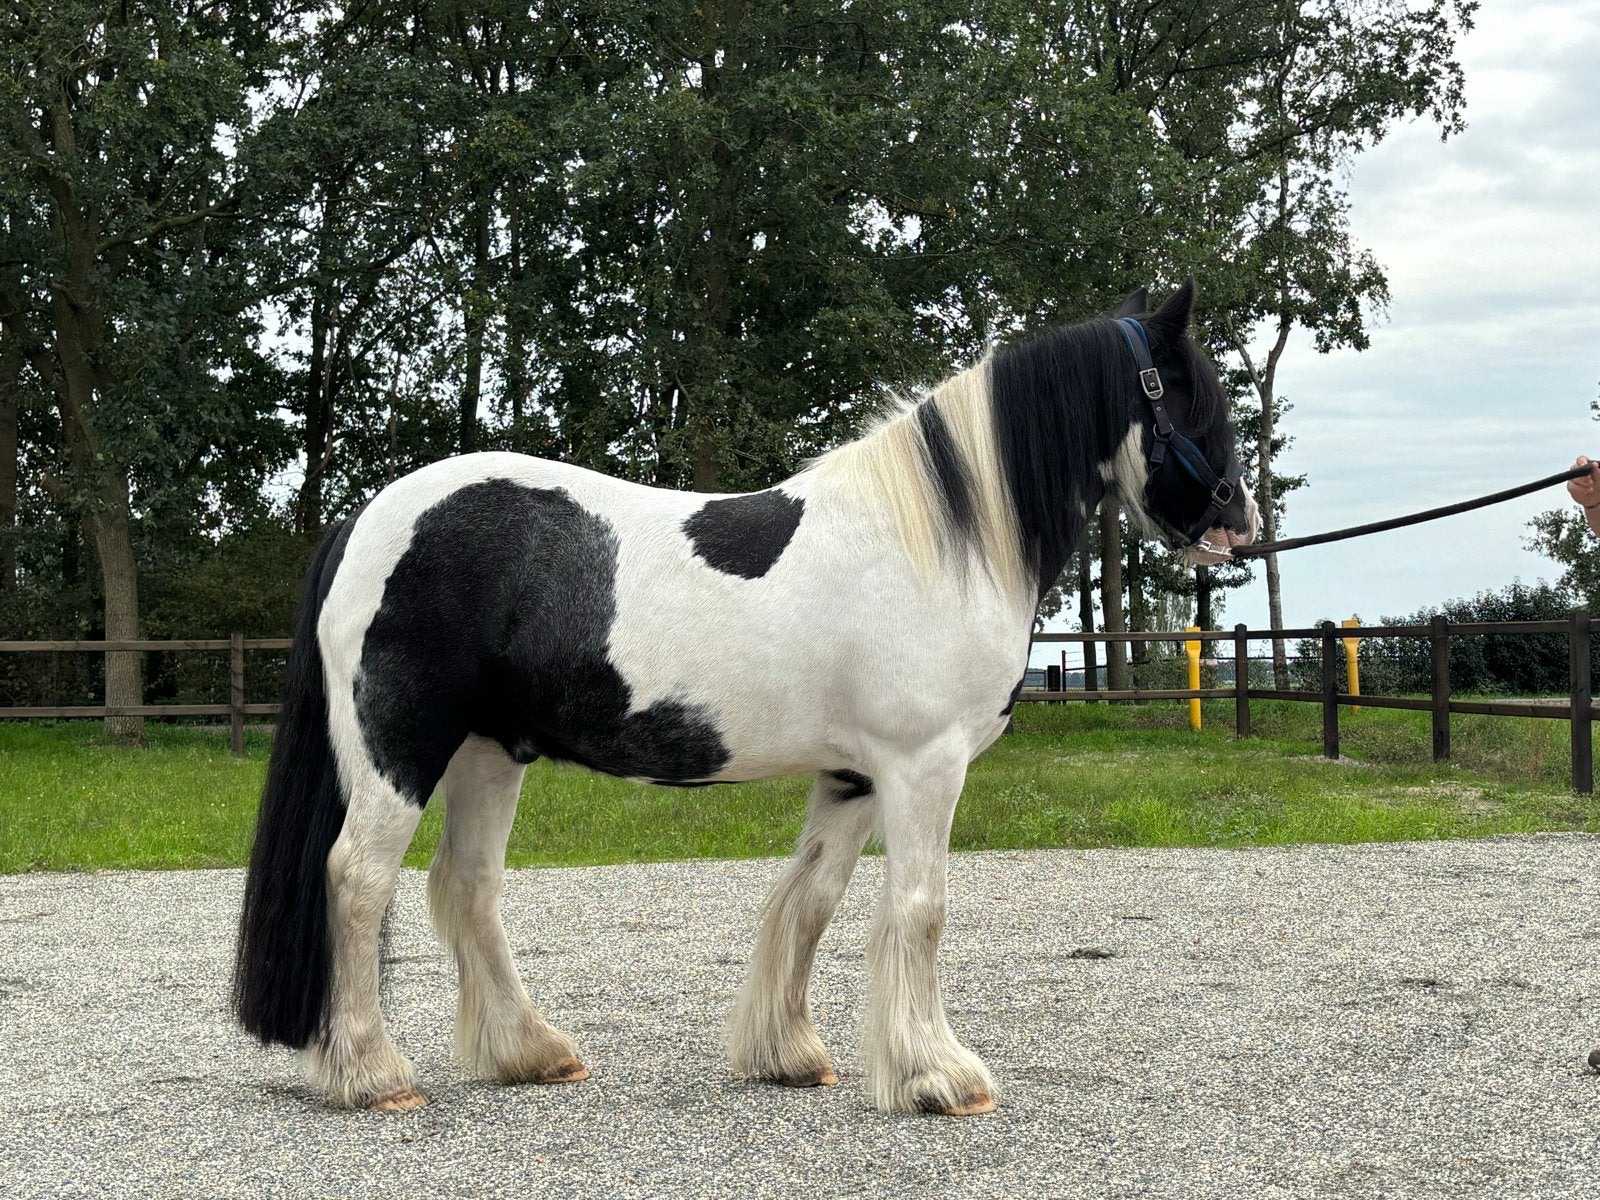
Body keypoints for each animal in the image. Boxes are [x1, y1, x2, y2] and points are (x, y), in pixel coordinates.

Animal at [232, 279, 1258, 1116]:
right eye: (1198, 397)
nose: (1241, 524)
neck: (938, 542)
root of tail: (365, 520)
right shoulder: (923, 766)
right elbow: (919, 909)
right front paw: (937, 1075)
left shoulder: (855, 775)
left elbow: (810, 899)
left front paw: (788, 1054)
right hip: (401, 750)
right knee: (357, 880)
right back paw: (371, 1074)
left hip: (491, 753)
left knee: (465, 887)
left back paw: (529, 1052)